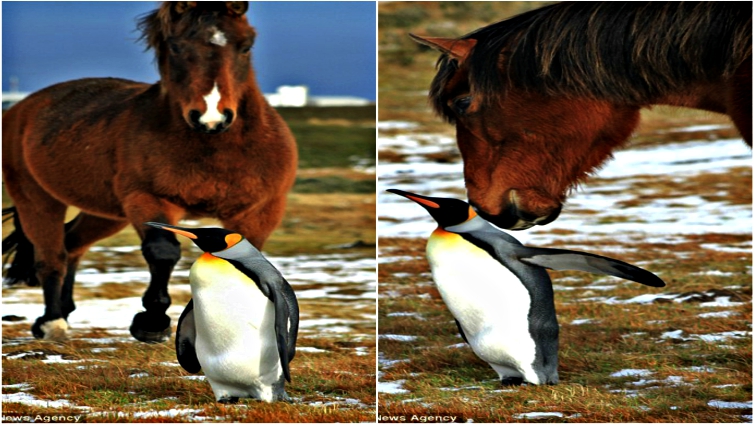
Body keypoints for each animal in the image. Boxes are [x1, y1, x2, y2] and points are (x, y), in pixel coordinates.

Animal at [2, 1, 297, 343]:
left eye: (246, 45)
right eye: (176, 46)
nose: (211, 118)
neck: (217, 149)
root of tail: (22, 108)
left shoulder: (260, 211)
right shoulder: (148, 198)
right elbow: (162, 252)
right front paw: (152, 322)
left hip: (105, 214)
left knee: (72, 244)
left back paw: (65, 309)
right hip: (38, 199)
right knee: (52, 256)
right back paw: (52, 321)